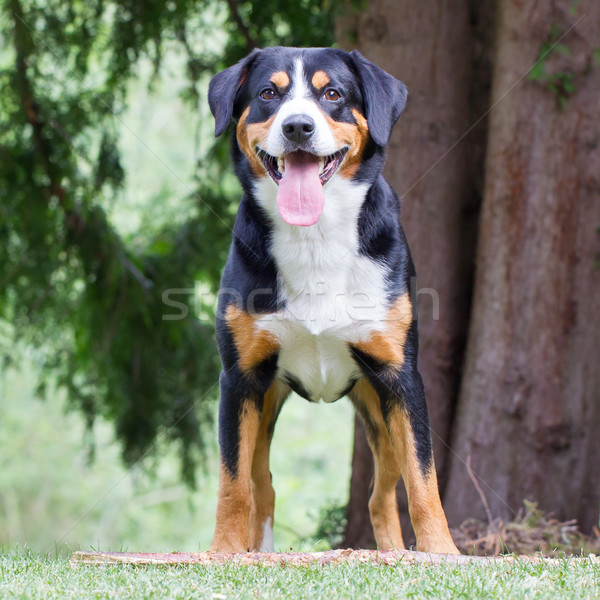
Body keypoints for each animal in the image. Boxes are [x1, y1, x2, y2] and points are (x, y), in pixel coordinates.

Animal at [209, 45, 458, 552]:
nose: (297, 127)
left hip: (378, 411)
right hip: (266, 403)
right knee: (261, 484)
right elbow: (232, 481)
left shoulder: (401, 376)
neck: (315, 238)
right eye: (269, 93)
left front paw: (442, 552)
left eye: (332, 94)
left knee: (382, 495)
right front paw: (223, 551)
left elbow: (423, 479)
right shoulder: (240, 378)